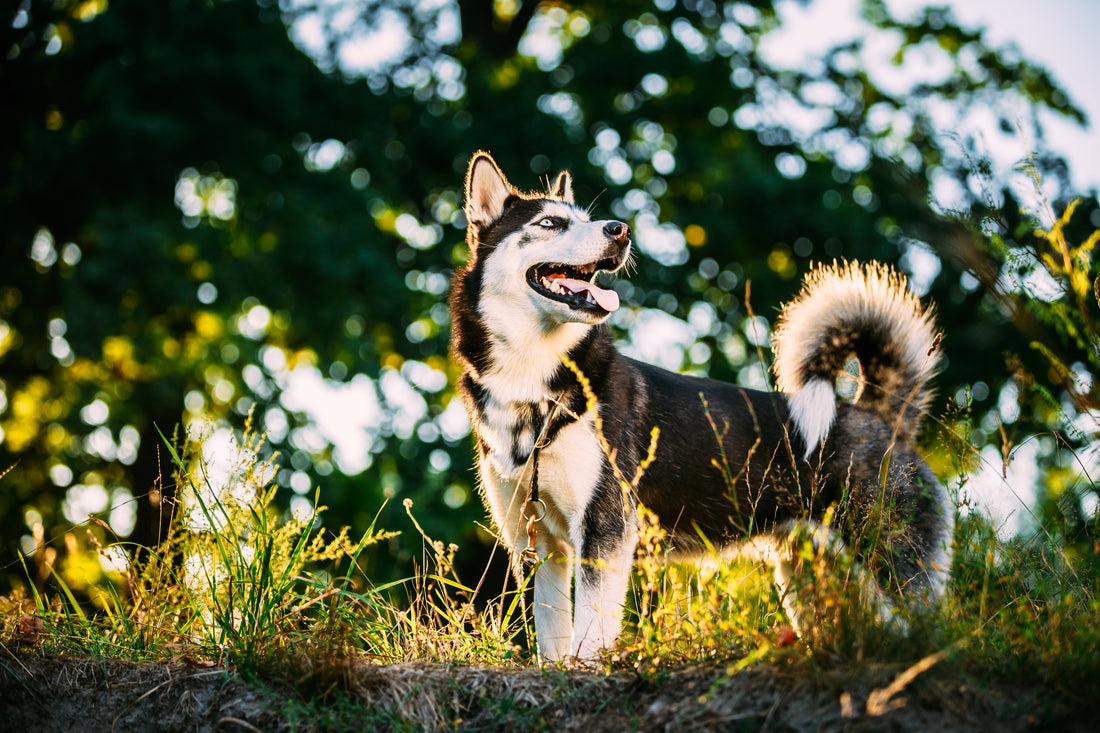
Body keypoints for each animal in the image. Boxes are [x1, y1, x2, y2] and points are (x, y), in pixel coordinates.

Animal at [446, 150, 954, 660]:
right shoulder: (539, 544)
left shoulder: (604, 531)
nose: (620, 229)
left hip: (888, 563)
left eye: (587, 220)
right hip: (810, 574)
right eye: (550, 223)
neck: (533, 384)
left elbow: (589, 633)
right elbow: (551, 640)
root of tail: (882, 413)